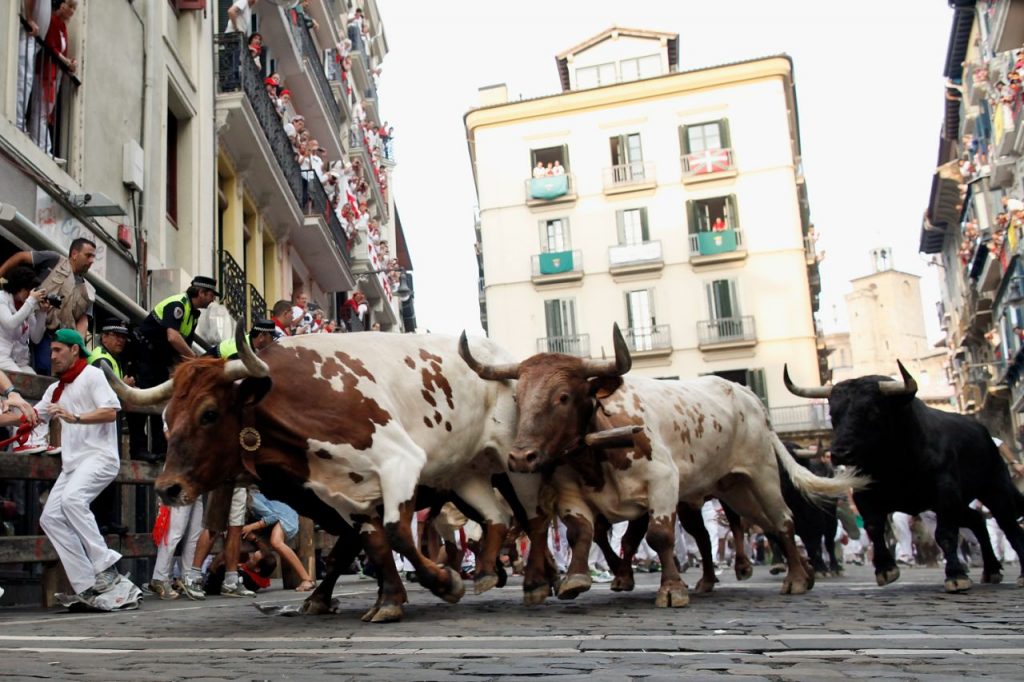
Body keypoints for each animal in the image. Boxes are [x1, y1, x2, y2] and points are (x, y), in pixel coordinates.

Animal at [460, 323, 868, 602]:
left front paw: (671, 588)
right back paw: (742, 576)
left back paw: (795, 578)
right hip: (733, 488)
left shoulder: (662, 485)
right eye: (518, 398)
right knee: (749, 527)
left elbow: (658, 536)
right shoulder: (571, 494)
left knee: (782, 521)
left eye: (562, 396)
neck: (597, 450)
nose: (520, 456)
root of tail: (747, 394)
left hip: (762, 475)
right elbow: (583, 533)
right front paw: (576, 578)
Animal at [782, 360, 1024, 589]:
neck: (896, 462)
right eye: (833, 414)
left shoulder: (945, 494)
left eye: (872, 412)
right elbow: (874, 527)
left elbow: (945, 534)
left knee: (1009, 527)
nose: (840, 452)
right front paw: (885, 569)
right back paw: (991, 570)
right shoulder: (865, 494)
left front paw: (956, 575)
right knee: (977, 521)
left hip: (995, 490)